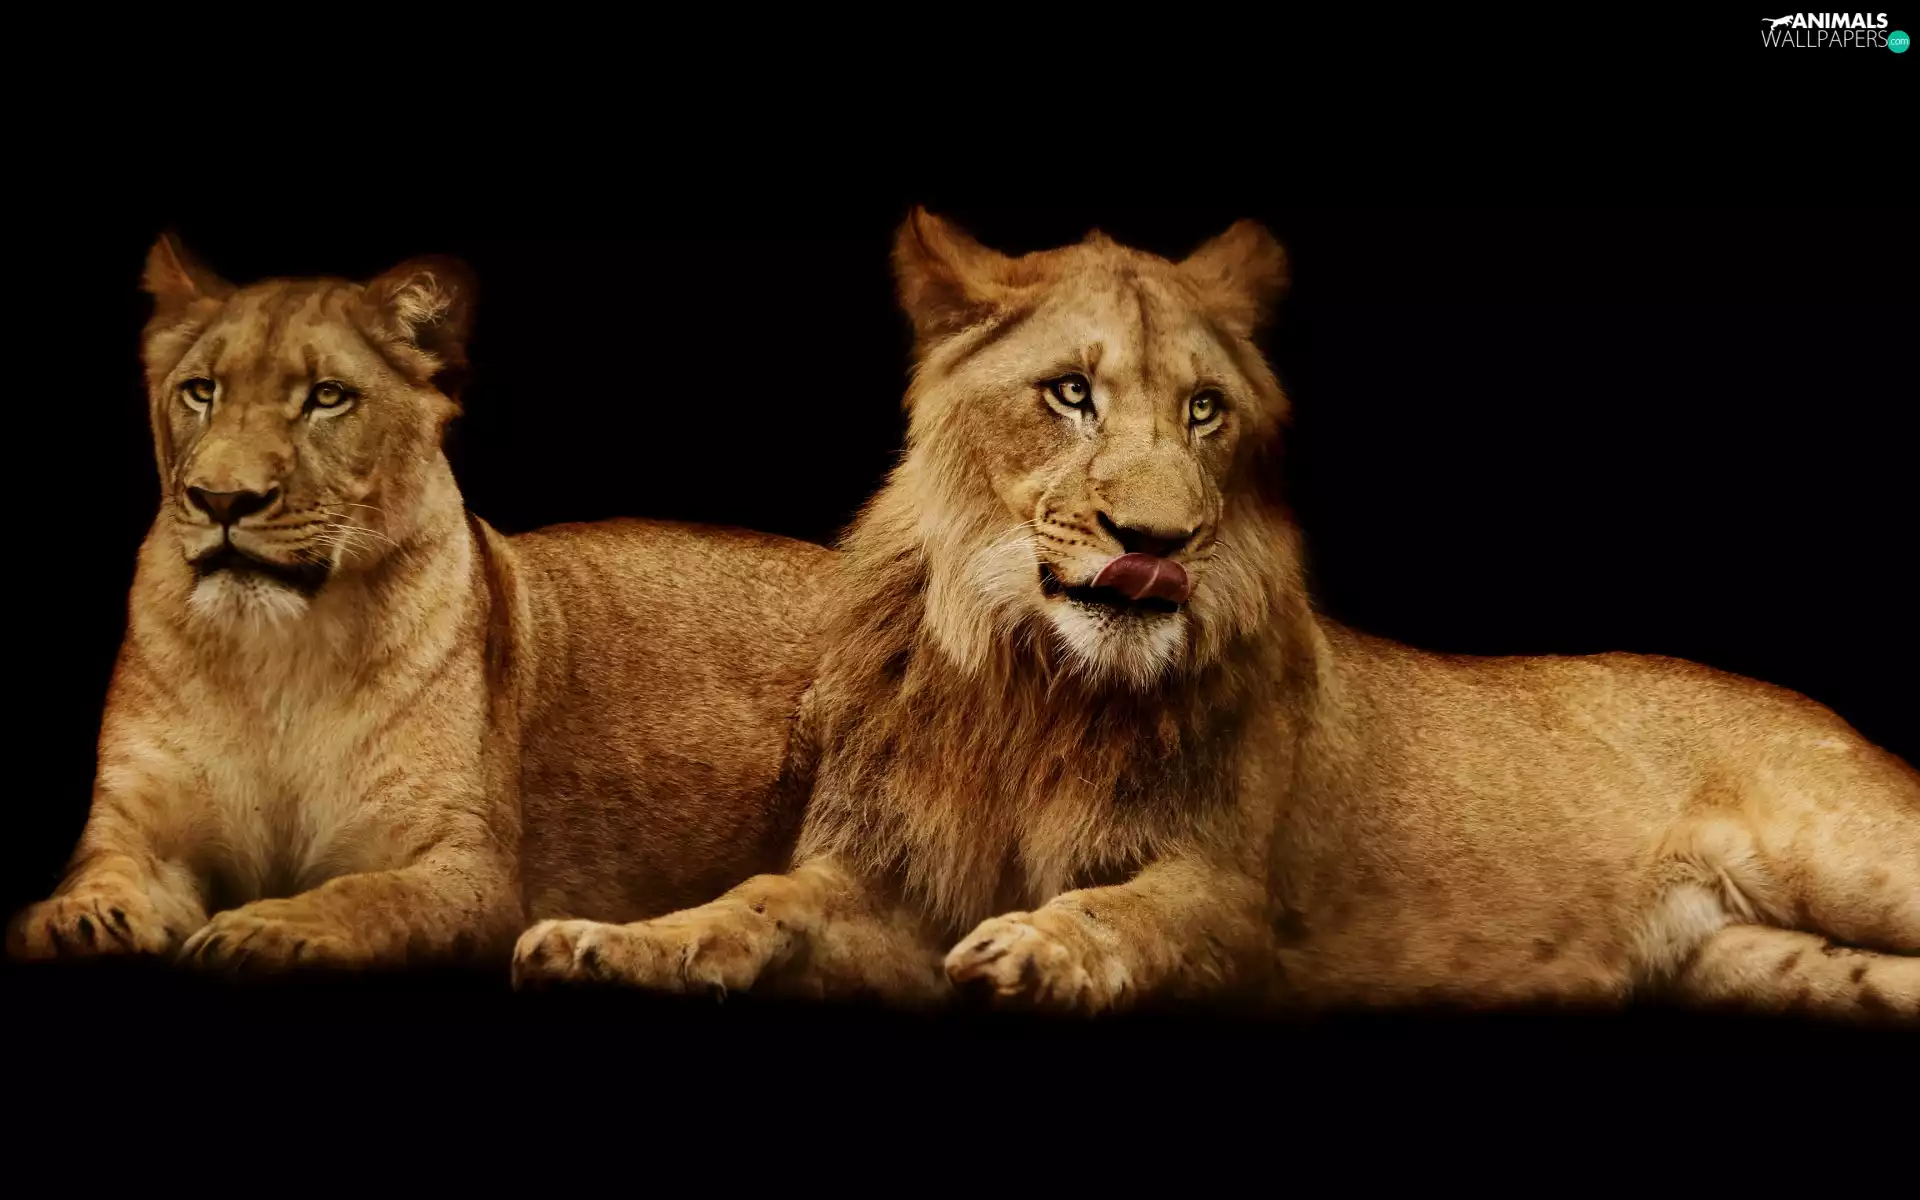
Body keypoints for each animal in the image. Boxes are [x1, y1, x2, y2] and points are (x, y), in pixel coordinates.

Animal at [5, 237, 833, 971]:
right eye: (202, 391)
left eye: (327, 398)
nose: (222, 500)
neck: (276, 656)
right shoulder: (140, 829)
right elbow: (104, 872)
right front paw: (75, 919)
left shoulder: (470, 868)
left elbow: (365, 897)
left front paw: (266, 927)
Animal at [512, 210, 1918, 1021]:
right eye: (1070, 393)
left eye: (1205, 411)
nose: (1156, 543)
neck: (1034, 687)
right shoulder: (877, 878)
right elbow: (756, 904)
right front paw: (607, 942)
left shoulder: (1237, 898)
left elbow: (1129, 911)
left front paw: (1038, 953)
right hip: (1756, 962)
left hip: (1847, 850)